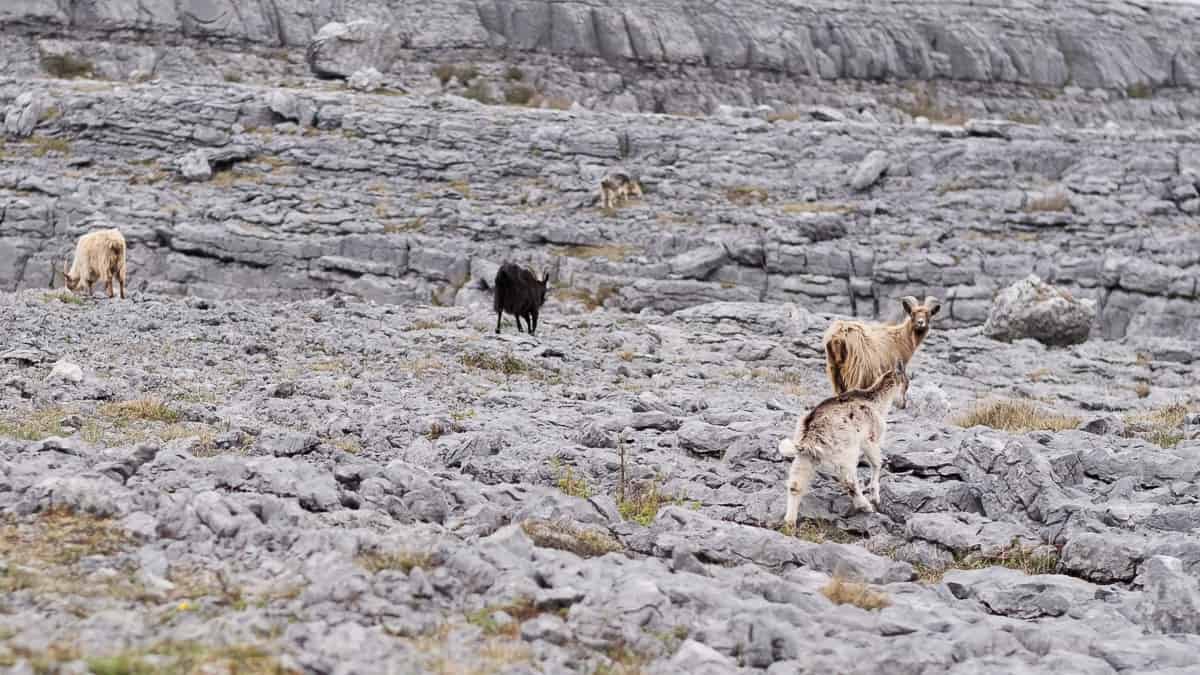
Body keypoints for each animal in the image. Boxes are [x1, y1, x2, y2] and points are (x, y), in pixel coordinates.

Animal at [777, 360, 907, 523]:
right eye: (906, 384)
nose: (904, 404)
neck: (876, 402)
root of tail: (811, 435)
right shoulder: (870, 439)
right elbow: (877, 463)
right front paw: (875, 496)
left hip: (807, 456)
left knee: (796, 484)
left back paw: (790, 521)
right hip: (845, 454)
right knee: (849, 480)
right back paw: (865, 506)